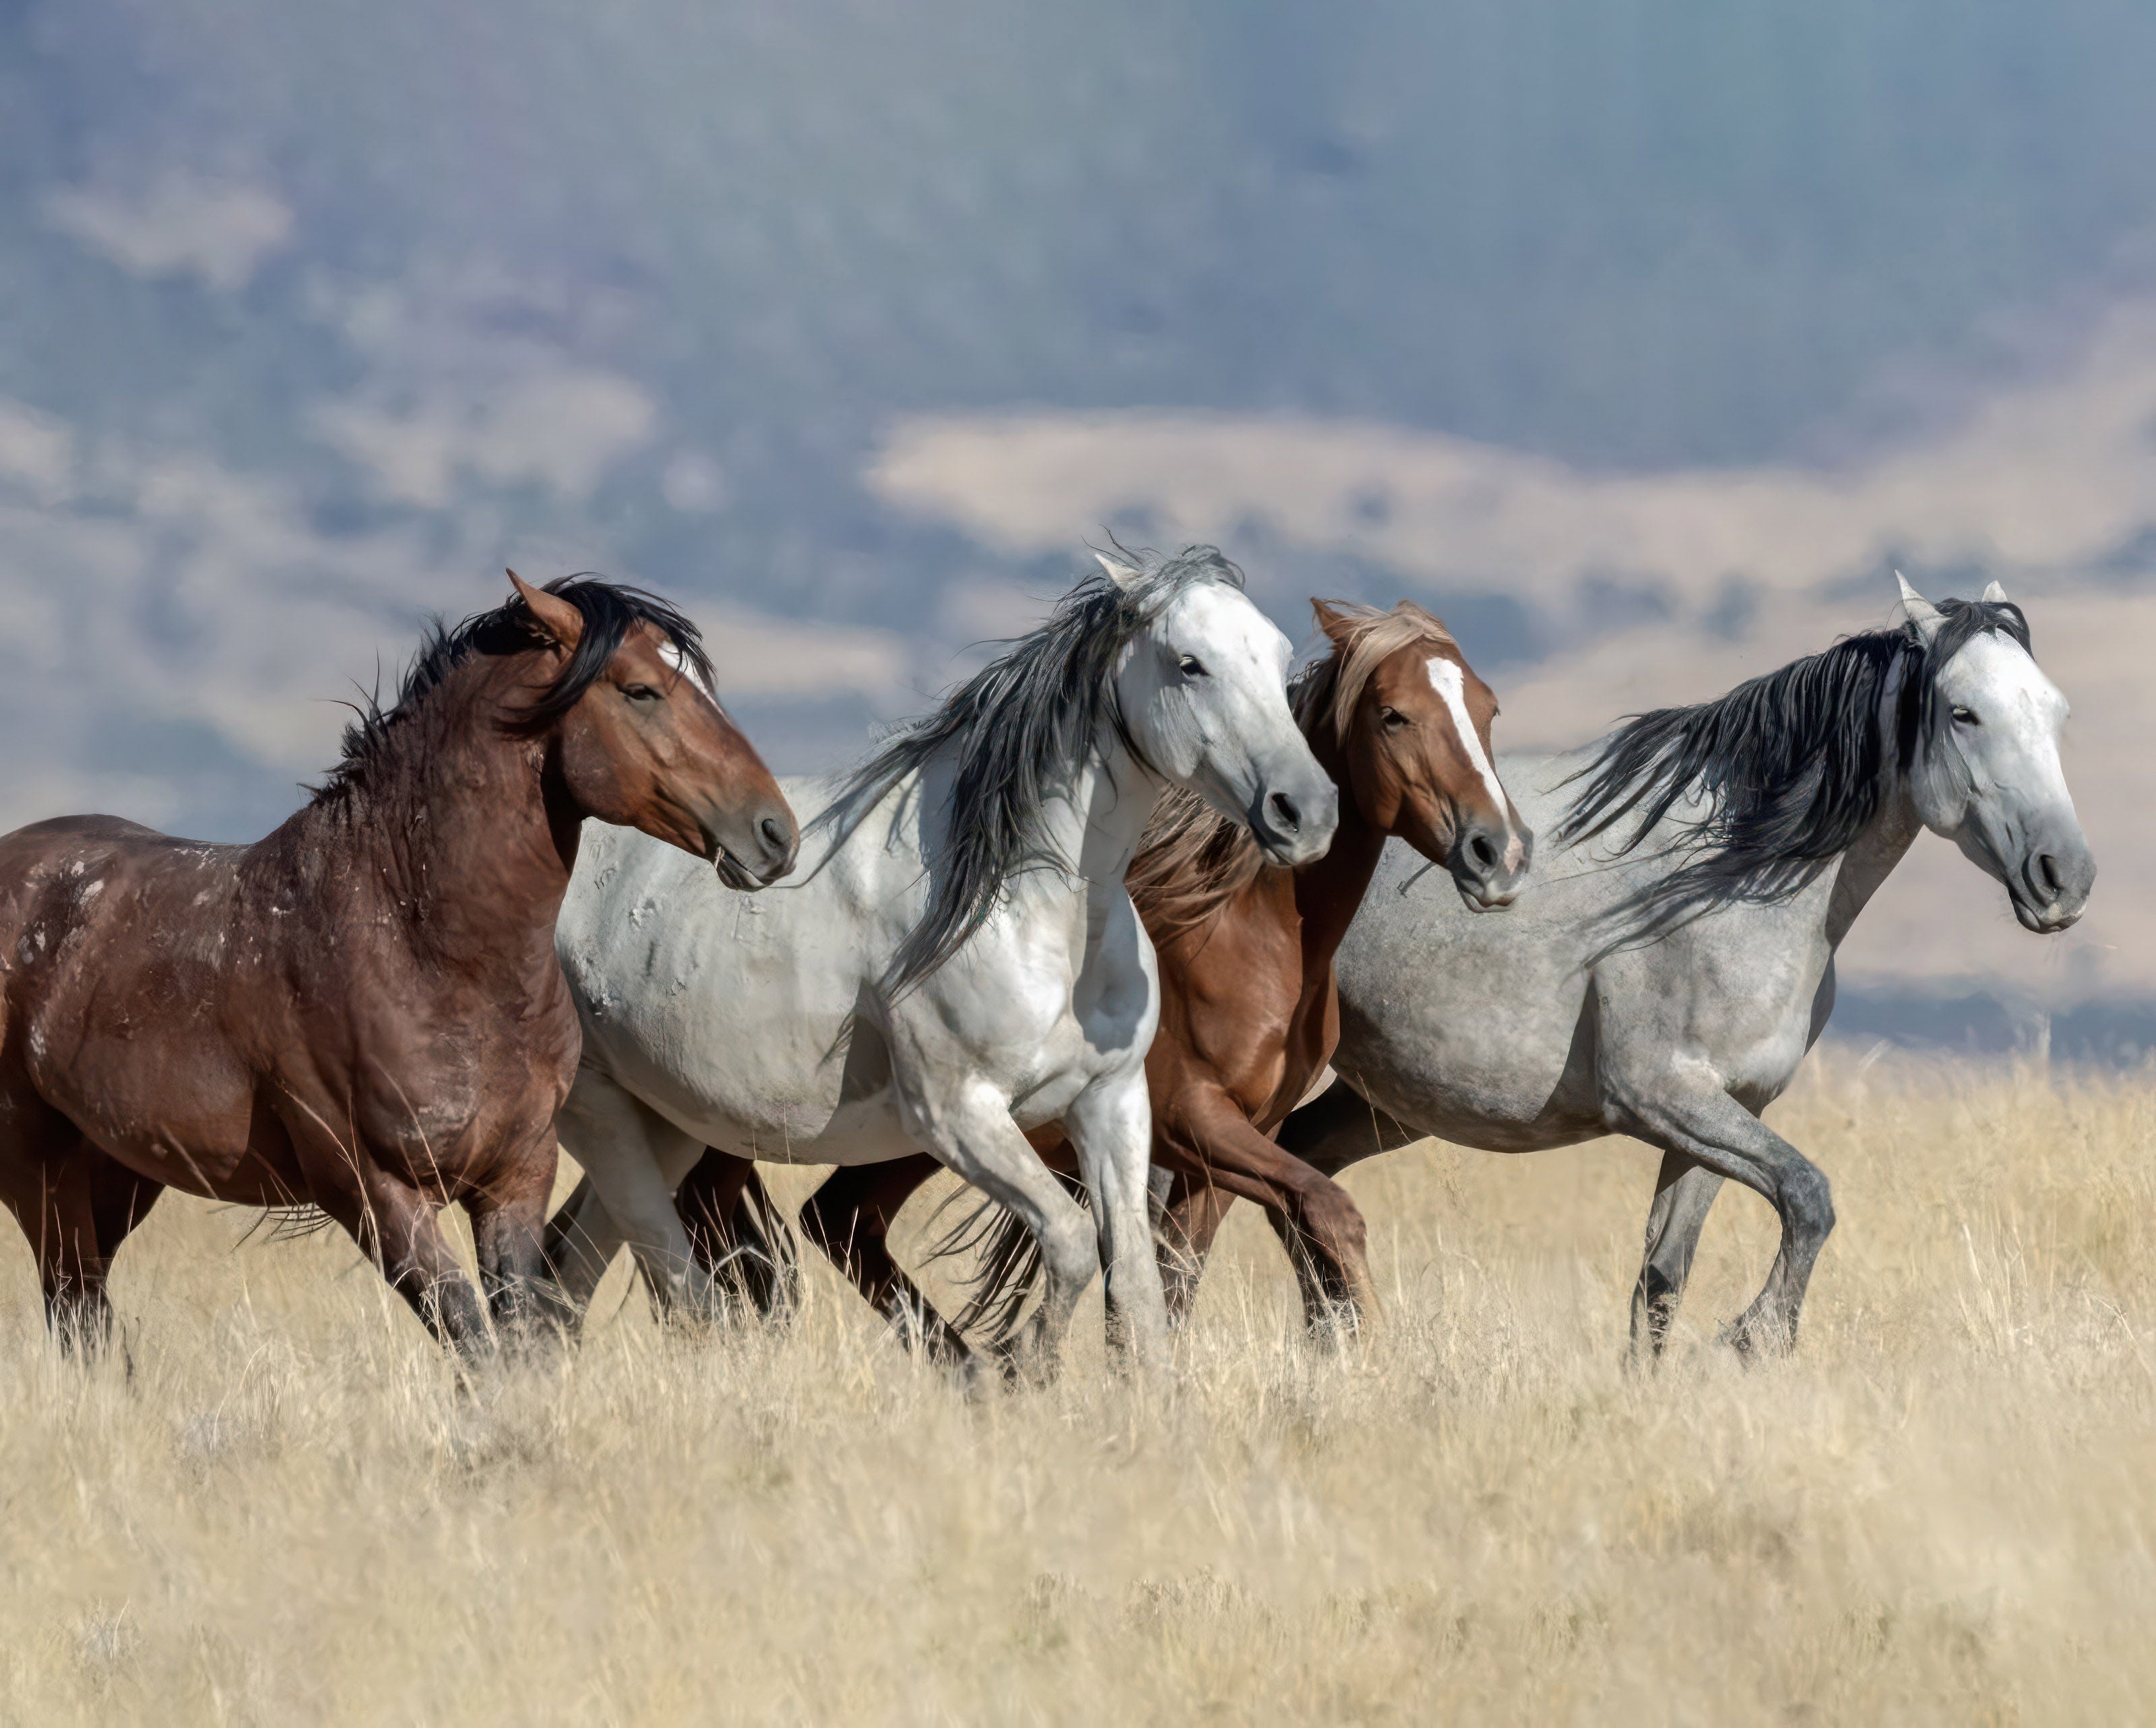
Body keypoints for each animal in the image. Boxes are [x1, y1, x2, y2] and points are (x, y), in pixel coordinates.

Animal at [0, 573, 797, 1355]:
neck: (423, 951)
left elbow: (520, 1342)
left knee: (87, 1311)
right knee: (74, 1306)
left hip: (120, 1168)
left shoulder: (515, 1179)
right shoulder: (375, 1194)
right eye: (640, 690)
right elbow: (473, 1341)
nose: (775, 833)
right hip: (40, 1169)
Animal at [536, 546, 1338, 1372]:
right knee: (646, 1275)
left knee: (567, 1272)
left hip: (667, 1123)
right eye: (1189, 664)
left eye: (1281, 658)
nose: (1305, 811)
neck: (1030, 911)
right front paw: (1024, 1368)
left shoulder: (1111, 1101)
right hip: (601, 1112)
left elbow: (1137, 1287)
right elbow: (1071, 1241)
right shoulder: (960, 1116)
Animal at [677, 597, 1533, 1356]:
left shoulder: (1230, 1146)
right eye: (1392, 715)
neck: (1250, 936)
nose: (1498, 852)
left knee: (839, 1223)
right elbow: (1326, 1210)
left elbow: (1175, 1279)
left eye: (1488, 709)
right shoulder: (1192, 1119)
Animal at [1237, 575, 2093, 1357]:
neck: (1728, 881)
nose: (2064, 877)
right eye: (1962, 713)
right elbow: (1808, 1196)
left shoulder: (1723, 1111)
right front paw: (1754, 1337)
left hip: (1385, 1099)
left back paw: (1336, 1345)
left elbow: (1661, 1280)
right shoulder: (1659, 1096)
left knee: (1300, 1172)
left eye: (2055, 711)